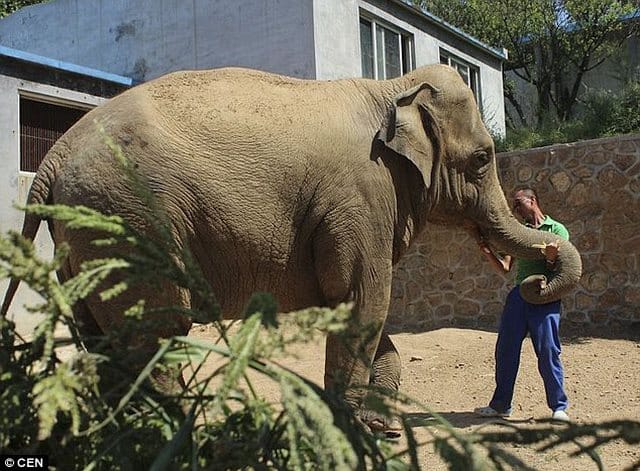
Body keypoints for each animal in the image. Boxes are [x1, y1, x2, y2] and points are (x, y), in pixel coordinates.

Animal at [0, 64, 584, 434]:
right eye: (484, 158)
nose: (536, 274)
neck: (392, 88)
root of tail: (52, 154)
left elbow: (360, 311)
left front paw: (380, 427)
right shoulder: (361, 196)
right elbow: (363, 300)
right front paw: (351, 429)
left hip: (88, 235)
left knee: (106, 336)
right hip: (132, 219)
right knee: (157, 329)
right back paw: (178, 432)